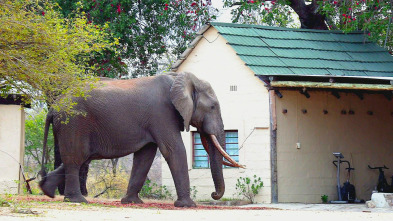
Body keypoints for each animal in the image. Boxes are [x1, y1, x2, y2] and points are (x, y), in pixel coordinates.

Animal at [39, 71, 242, 207]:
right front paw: (187, 205)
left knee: (79, 158)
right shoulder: (162, 113)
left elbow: (145, 156)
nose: (214, 194)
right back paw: (78, 200)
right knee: (76, 159)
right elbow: (173, 150)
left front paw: (131, 202)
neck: (179, 78)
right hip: (74, 122)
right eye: (213, 107)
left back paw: (46, 190)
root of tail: (54, 107)